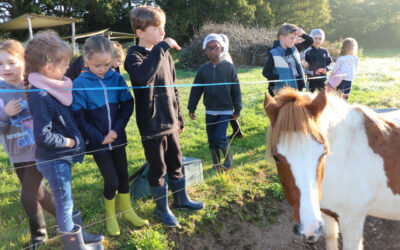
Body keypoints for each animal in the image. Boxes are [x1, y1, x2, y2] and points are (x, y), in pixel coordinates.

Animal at [264, 87, 400, 249]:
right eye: (276, 157)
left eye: (323, 153)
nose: (308, 228)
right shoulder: (325, 214)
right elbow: (330, 236)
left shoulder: (352, 221)